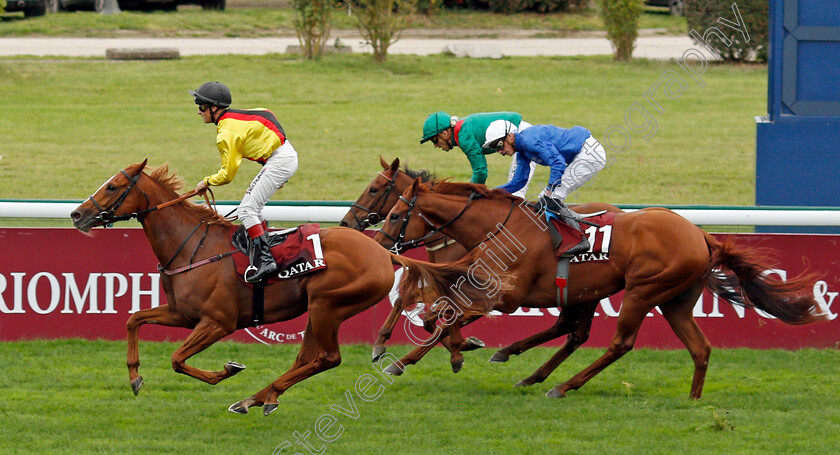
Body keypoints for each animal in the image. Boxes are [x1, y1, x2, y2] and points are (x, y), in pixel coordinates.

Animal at [70, 161, 498, 416]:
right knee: (307, 357)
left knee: (327, 358)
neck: (192, 246)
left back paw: (259, 394)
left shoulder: (217, 322)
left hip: (328, 303)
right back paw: (260, 397)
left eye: (114, 187)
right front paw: (134, 376)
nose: (76, 214)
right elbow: (133, 319)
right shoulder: (182, 313)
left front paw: (227, 369)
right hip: (317, 309)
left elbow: (177, 359)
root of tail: (380, 250)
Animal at [376, 178, 828, 400]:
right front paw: (435, 352)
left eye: (396, 213)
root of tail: (702, 235)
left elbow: (442, 314)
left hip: (644, 291)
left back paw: (561, 386)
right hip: (674, 301)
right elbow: (439, 311)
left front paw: (434, 354)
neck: (500, 227)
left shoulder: (506, 295)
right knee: (699, 348)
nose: (380, 243)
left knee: (619, 343)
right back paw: (693, 399)